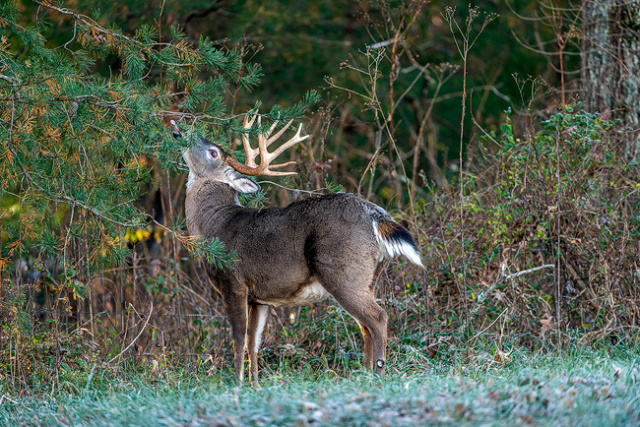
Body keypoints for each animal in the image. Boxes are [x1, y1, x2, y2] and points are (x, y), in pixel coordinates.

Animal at [182, 113, 422, 384]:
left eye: (213, 152)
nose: (184, 130)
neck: (214, 223)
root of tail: (376, 215)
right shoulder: (259, 297)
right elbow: (253, 343)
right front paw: (255, 385)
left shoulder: (234, 282)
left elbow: (238, 340)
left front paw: (237, 384)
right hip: (370, 276)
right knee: (365, 325)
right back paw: (365, 374)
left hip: (343, 271)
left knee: (378, 318)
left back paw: (378, 374)